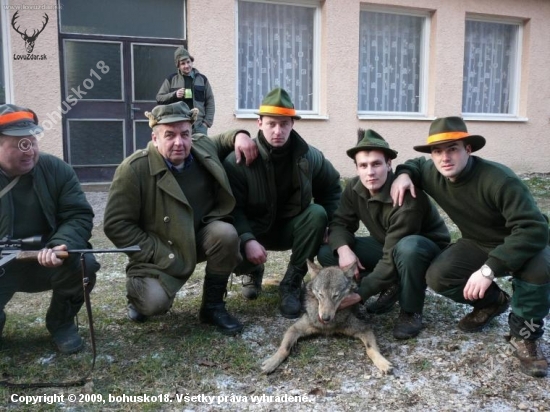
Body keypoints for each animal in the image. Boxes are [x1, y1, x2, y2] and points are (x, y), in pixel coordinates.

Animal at [262, 262, 394, 374]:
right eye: (320, 294)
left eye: (336, 296)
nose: (325, 318)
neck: (327, 325)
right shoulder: (295, 328)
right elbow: (284, 349)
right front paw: (272, 362)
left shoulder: (364, 329)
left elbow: (371, 349)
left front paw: (382, 362)